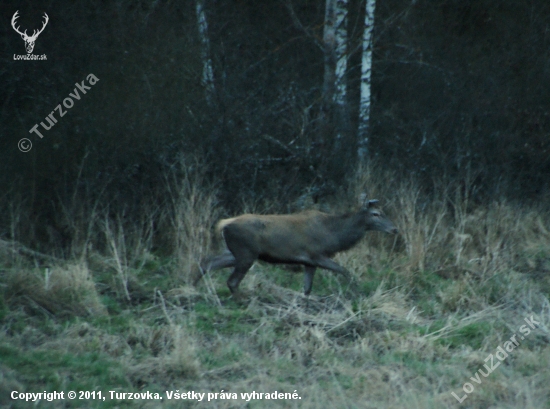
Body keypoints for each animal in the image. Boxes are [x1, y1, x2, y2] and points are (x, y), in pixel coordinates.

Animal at [196, 197, 398, 294]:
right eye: (375, 213)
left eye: (383, 212)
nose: (395, 229)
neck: (334, 235)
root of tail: (225, 224)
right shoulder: (316, 254)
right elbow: (345, 271)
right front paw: (356, 291)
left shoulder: (309, 262)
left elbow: (307, 289)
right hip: (246, 252)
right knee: (231, 280)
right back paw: (243, 300)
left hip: (234, 252)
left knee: (206, 263)